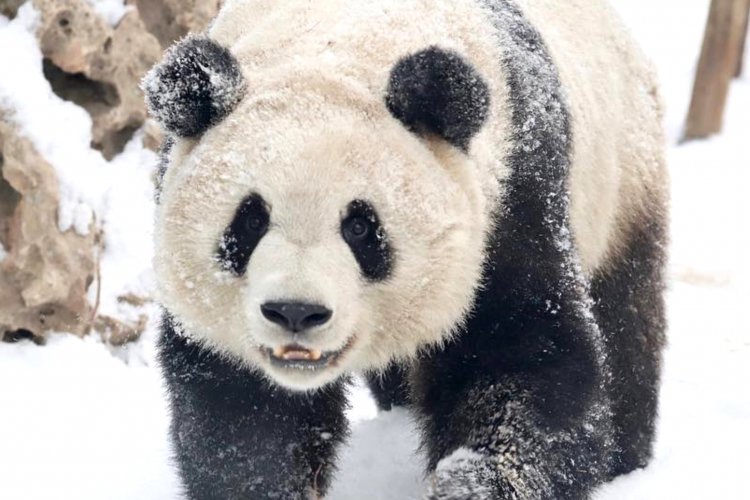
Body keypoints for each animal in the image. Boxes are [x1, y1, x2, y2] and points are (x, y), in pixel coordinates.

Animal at [142, 0, 668, 500]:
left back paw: (625, 458)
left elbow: (526, 357)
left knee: (626, 322)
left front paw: (469, 484)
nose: (295, 312)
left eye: (360, 227)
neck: (342, 38)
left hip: (623, 179)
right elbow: (245, 410)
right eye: (251, 220)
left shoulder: (511, 199)